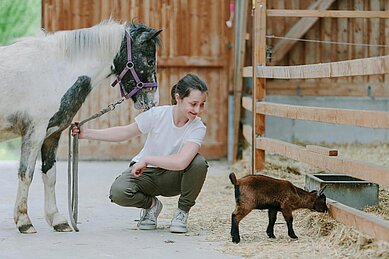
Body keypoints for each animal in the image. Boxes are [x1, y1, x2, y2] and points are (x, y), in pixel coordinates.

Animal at [0, 20, 161, 235]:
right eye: (150, 61)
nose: (152, 102)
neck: (56, 71)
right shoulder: (34, 133)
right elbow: (26, 174)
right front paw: (24, 221)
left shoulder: (52, 134)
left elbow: (50, 176)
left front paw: (58, 220)